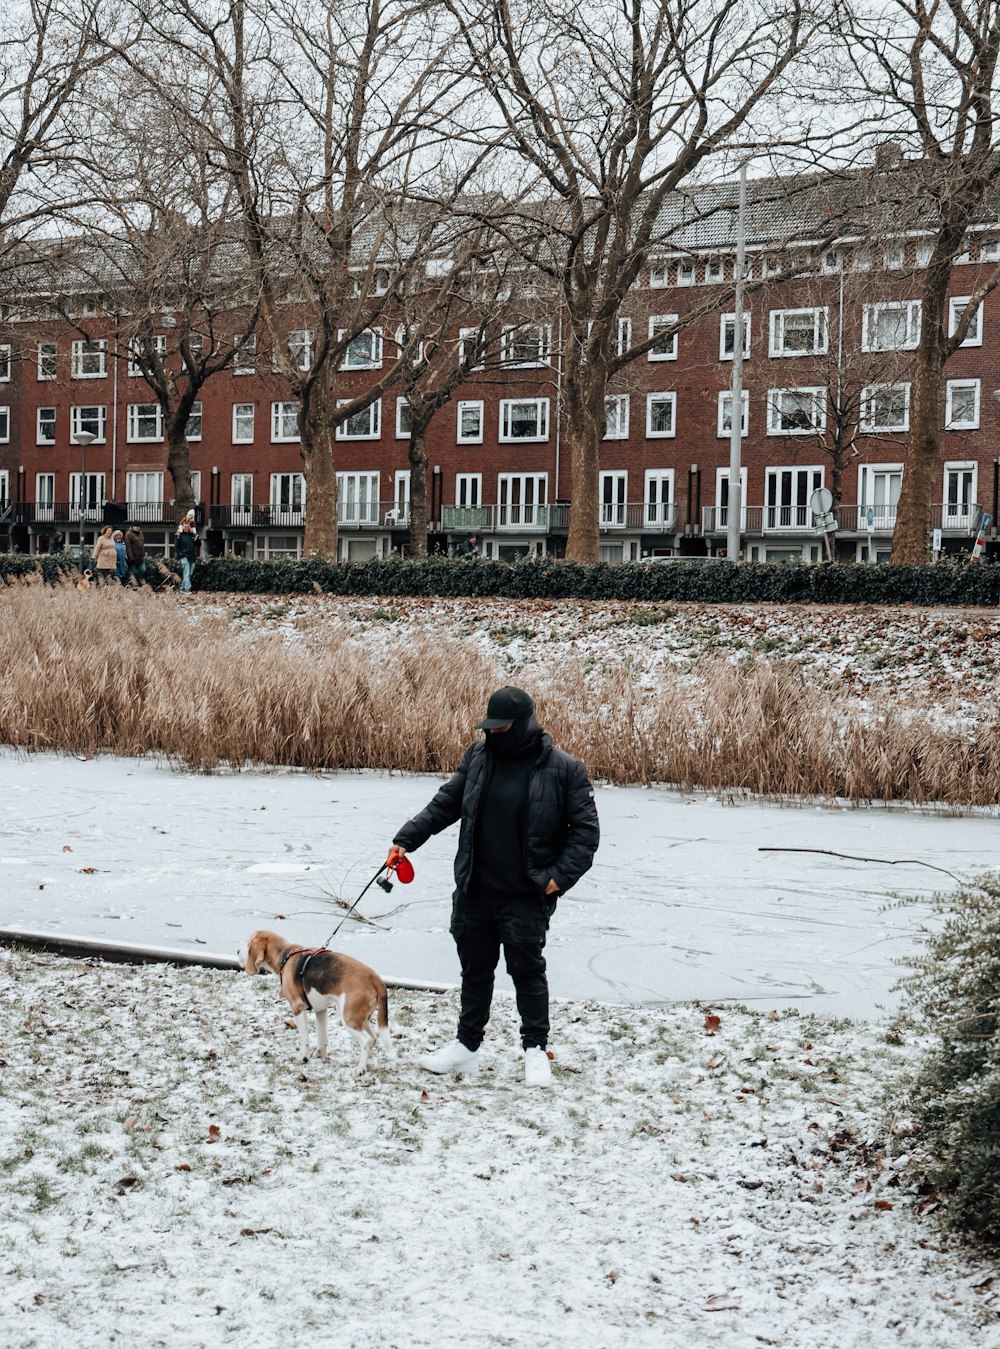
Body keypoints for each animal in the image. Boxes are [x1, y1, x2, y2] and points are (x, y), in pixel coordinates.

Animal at [240, 928, 391, 1073]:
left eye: (248, 943)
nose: (237, 951)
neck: (285, 955)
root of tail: (374, 977)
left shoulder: (298, 1007)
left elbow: (304, 1037)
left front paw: (303, 1057)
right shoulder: (321, 1010)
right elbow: (322, 1036)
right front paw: (320, 1054)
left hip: (348, 1019)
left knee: (367, 1041)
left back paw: (360, 1069)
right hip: (362, 1018)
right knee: (374, 1038)